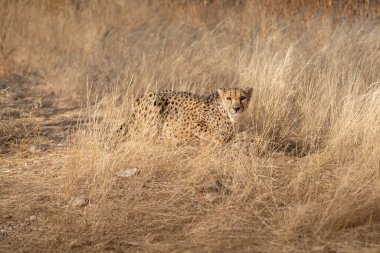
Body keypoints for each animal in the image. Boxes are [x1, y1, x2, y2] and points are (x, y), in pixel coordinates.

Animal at [117, 87, 251, 145]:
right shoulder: (195, 124)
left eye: (242, 97)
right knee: (145, 137)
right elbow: (217, 135)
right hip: (154, 100)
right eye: (228, 98)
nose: (236, 108)